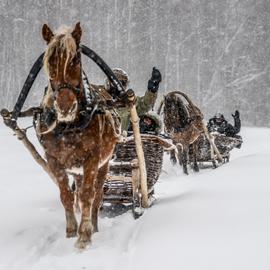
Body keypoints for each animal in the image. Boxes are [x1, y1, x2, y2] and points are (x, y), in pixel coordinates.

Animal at [37, 23, 120, 249]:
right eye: (50, 61)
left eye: (75, 59)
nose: (65, 107)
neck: (69, 125)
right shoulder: (54, 160)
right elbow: (66, 195)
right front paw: (71, 231)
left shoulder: (92, 158)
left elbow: (87, 196)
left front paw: (84, 236)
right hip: (77, 169)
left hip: (103, 164)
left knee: (96, 195)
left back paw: (94, 225)